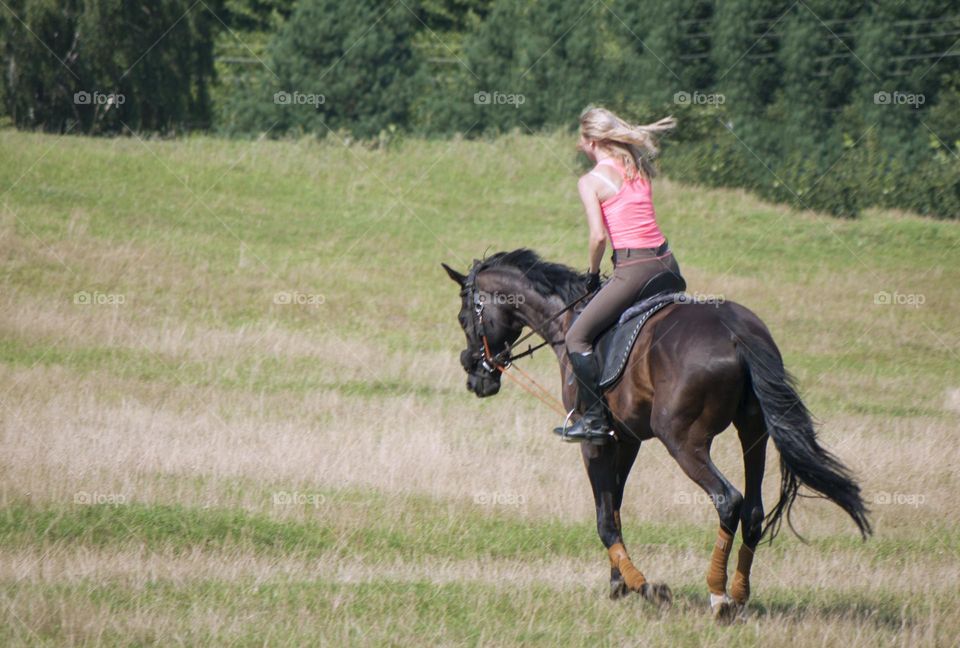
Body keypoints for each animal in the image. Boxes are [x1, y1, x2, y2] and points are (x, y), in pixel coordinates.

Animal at [442, 248, 871, 623]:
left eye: (464, 318)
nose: (473, 376)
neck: (567, 320)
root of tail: (737, 334)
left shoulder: (594, 441)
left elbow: (604, 517)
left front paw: (644, 587)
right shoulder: (625, 439)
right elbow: (615, 506)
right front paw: (619, 582)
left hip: (683, 441)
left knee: (727, 500)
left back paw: (718, 597)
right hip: (754, 433)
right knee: (752, 510)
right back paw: (739, 595)